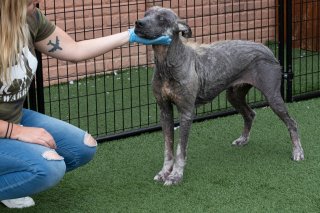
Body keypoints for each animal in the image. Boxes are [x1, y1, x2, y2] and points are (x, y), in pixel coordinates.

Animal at [134, 6, 304, 186]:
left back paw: (297, 152)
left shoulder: (186, 113)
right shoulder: (165, 112)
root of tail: (267, 48)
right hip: (234, 96)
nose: (138, 23)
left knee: (292, 123)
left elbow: (180, 150)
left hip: (273, 97)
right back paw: (243, 139)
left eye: (161, 18)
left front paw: (175, 176)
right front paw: (164, 172)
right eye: (145, 14)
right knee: (250, 114)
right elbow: (168, 149)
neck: (168, 64)